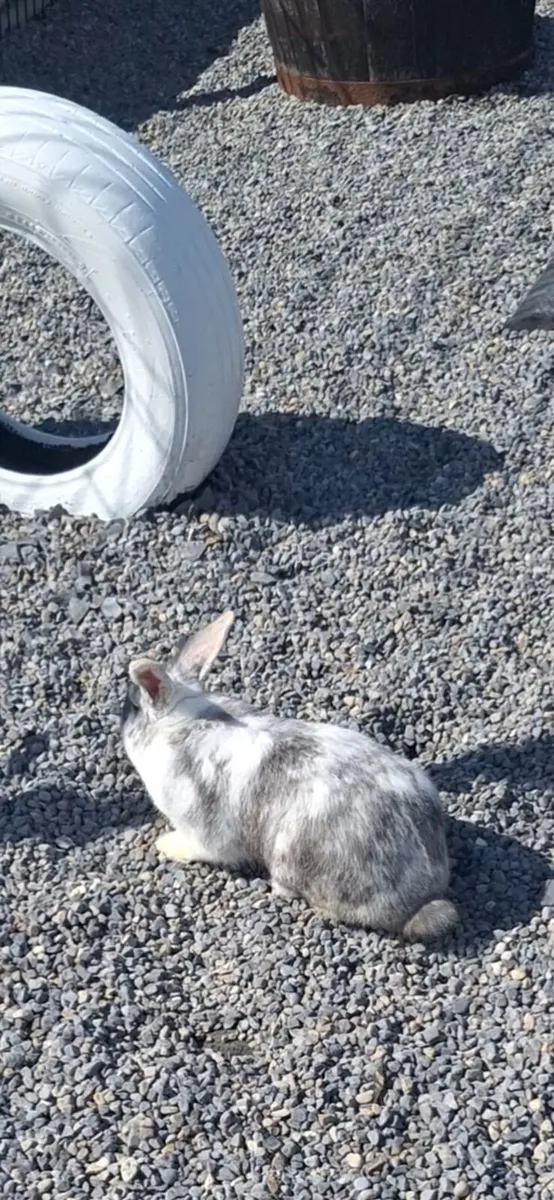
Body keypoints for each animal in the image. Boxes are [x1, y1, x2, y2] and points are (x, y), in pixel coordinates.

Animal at [121, 612, 458, 941]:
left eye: (134, 707)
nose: (121, 719)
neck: (181, 724)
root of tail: (423, 895)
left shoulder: (201, 830)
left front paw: (165, 844)